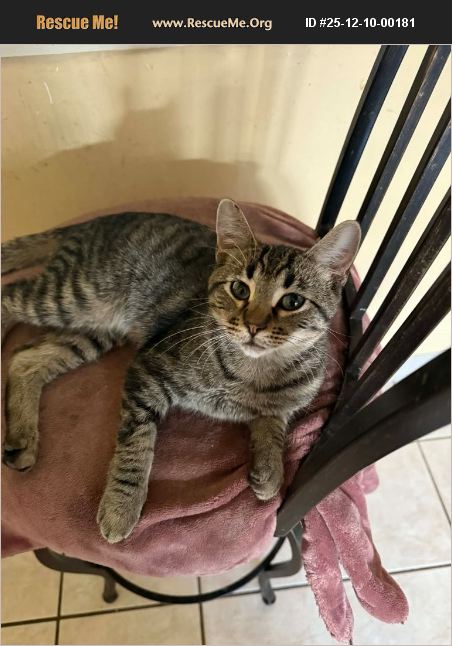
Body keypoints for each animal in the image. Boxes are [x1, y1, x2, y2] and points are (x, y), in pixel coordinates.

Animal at [1, 199, 360, 543]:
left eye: (292, 302)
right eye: (239, 289)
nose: (253, 326)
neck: (254, 371)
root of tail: (89, 223)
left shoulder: (284, 405)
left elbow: (273, 424)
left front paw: (270, 468)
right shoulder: (149, 368)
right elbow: (137, 443)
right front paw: (121, 505)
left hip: (95, 329)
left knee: (25, 359)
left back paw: (22, 438)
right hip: (74, 296)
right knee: (8, 296)